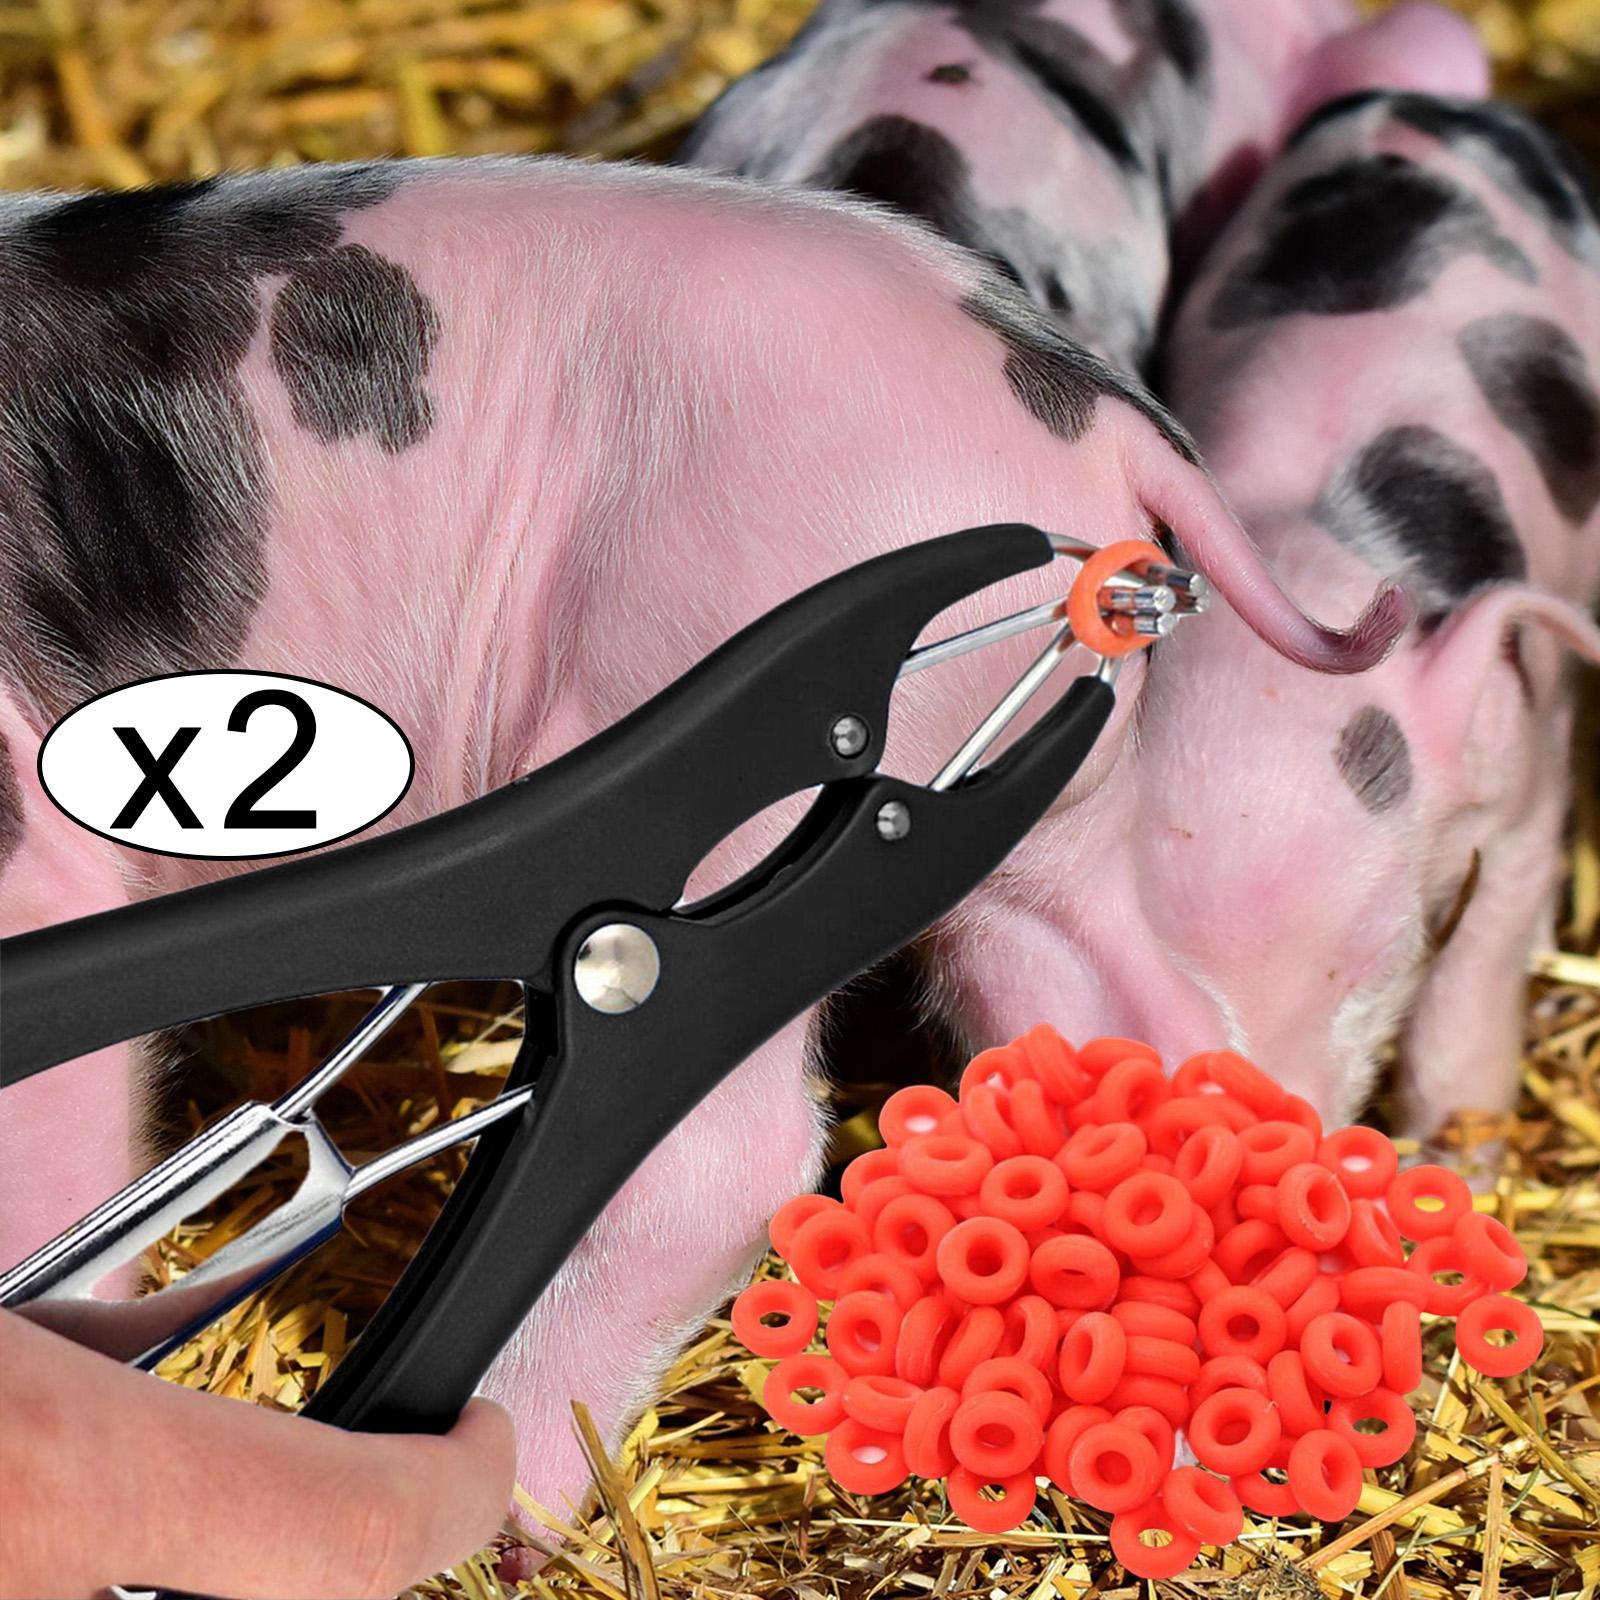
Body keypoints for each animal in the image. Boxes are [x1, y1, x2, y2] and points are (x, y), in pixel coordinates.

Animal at [0, 156, 1397, 1525]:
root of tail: (1099, 412)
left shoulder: (39, 866)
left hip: (698, 698)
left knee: (731, 1154)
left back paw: (513, 1517)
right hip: (1030, 805)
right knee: (1138, 1035)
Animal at [933, 88, 1600, 1142]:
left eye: (1375, 959)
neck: (1316, 570)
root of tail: (1429, 104)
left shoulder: (1520, 763)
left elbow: (1476, 989)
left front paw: (1458, 1154)